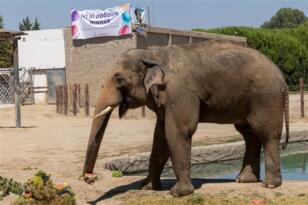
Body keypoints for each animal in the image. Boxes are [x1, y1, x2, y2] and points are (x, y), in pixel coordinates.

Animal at [82, 39, 288, 197]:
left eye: (118, 79)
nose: (89, 179)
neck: (153, 54)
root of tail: (281, 77)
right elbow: (160, 136)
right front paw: (147, 187)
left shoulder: (179, 92)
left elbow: (177, 131)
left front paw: (178, 193)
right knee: (249, 134)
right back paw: (244, 180)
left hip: (265, 97)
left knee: (266, 133)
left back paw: (269, 185)